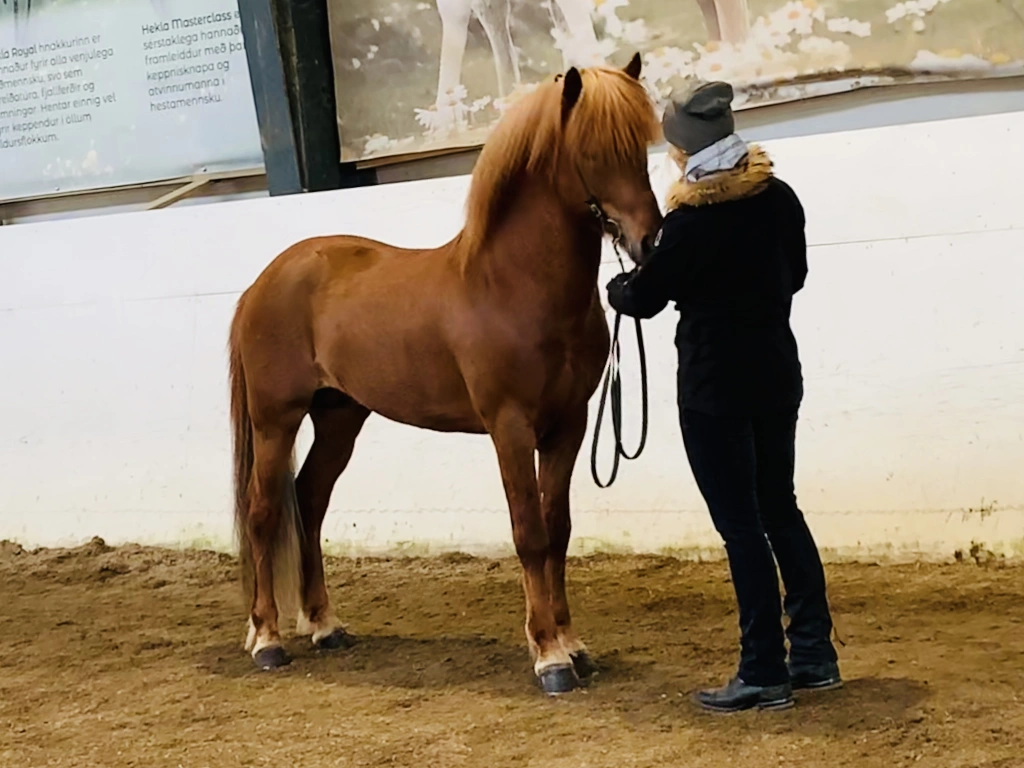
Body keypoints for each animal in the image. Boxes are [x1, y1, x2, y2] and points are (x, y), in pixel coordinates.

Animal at [228, 52, 662, 694]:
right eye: (591, 151)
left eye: (641, 146)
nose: (650, 241)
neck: (511, 286)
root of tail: (265, 280)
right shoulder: (510, 427)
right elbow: (529, 533)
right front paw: (550, 657)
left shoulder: (569, 425)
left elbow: (557, 529)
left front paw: (574, 645)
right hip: (275, 418)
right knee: (263, 512)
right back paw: (267, 639)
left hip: (340, 417)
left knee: (310, 499)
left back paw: (326, 626)